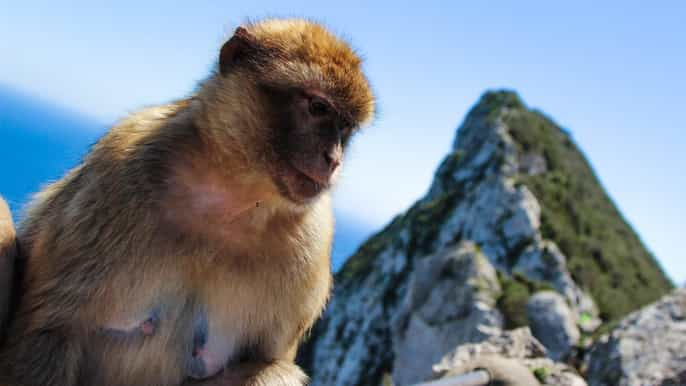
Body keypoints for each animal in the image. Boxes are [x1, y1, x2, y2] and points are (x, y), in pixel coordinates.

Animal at [0, 18, 376, 386]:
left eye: (345, 129)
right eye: (318, 107)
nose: (333, 159)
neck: (232, 195)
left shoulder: (312, 239)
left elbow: (268, 362)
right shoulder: (116, 174)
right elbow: (52, 329)